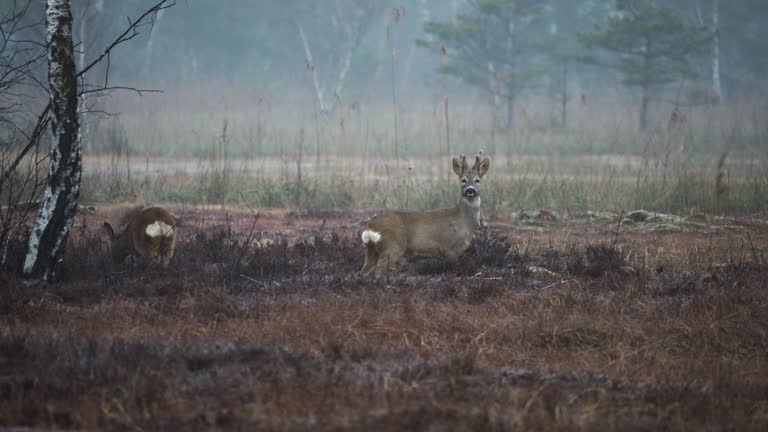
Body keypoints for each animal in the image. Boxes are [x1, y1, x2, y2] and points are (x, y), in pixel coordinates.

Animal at [362, 154, 492, 272]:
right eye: (463, 180)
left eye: (477, 180)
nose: (470, 190)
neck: (464, 221)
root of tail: (370, 226)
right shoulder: (450, 247)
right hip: (393, 246)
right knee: (379, 269)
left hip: (371, 250)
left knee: (365, 269)